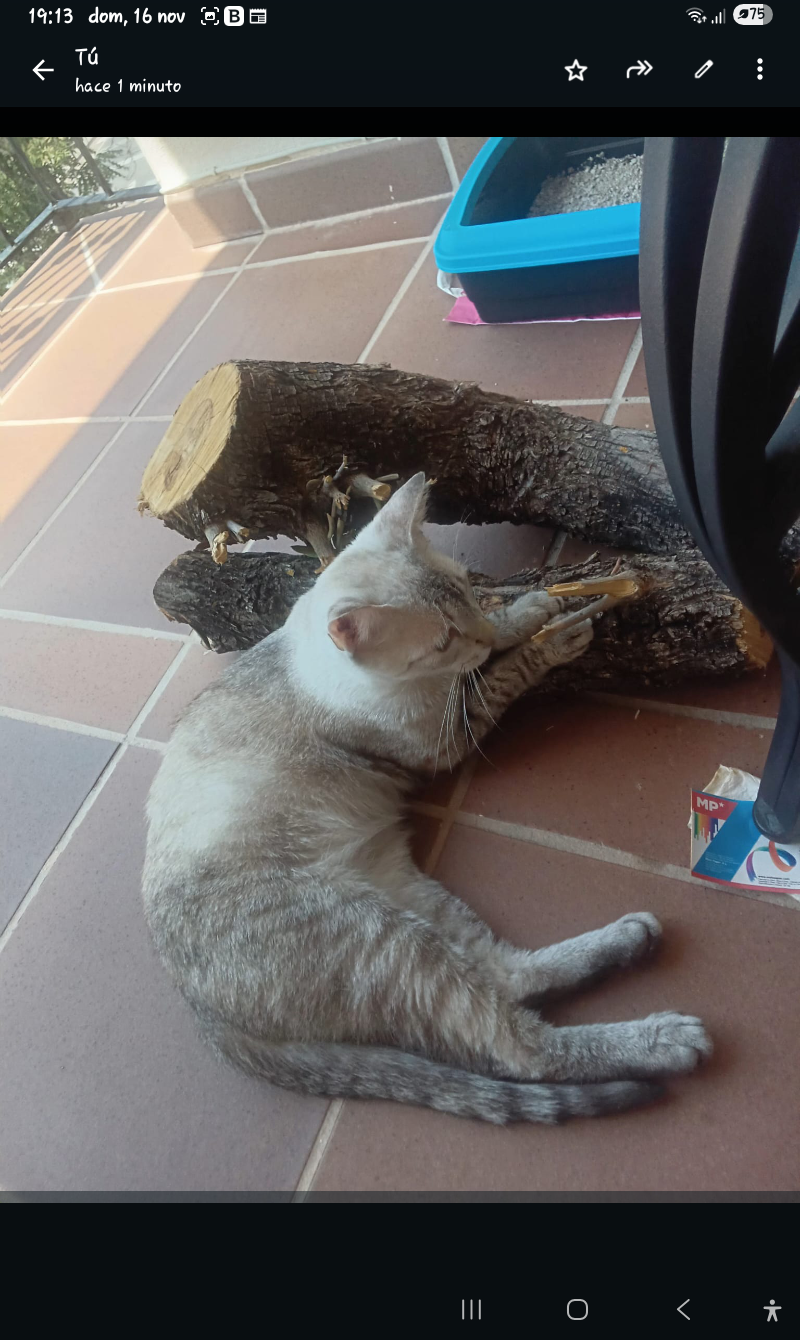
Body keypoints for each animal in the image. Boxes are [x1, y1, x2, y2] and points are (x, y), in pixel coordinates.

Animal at [143, 473, 711, 1125]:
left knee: (507, 975)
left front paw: (529, 610)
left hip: (414, 899)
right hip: (388, 938)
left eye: (466, 593)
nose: (476, 636)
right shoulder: (448, 737)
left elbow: (505, 635)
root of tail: (203, 1018)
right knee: (520, 1048)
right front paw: (552, 635)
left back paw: (630, 938)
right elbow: (505, 673)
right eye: (442, 641)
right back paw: (665, 1038)